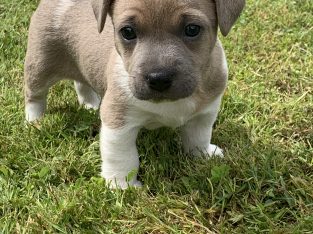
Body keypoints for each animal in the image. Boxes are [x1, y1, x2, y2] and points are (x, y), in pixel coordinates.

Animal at [23, 0, 244, 188]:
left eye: (192, 29)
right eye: (127, 32)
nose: (158, 79)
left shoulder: (204, 114)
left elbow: (198, 138)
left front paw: (203, 155)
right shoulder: (118, 123)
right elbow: (123, 157)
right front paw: (122, 186)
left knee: (81, 83)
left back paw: (89, 104)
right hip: (39, 68)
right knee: (34, 97)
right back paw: (34, 121)